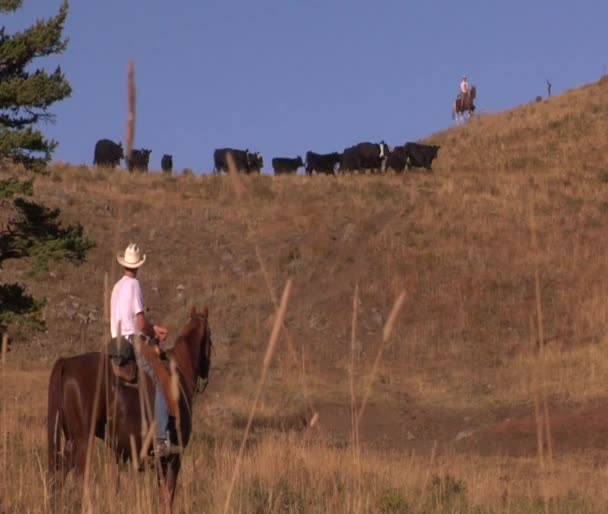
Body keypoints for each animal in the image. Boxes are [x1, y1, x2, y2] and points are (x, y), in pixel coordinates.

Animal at [45, 304, 211, 508]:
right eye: (210, 340)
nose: (206, 374)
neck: (178, 374)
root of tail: (67, 363)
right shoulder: (174, 456)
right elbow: (167, 495)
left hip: (69, 440)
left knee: (58, 476)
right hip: (82, 440)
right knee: (78, 478)